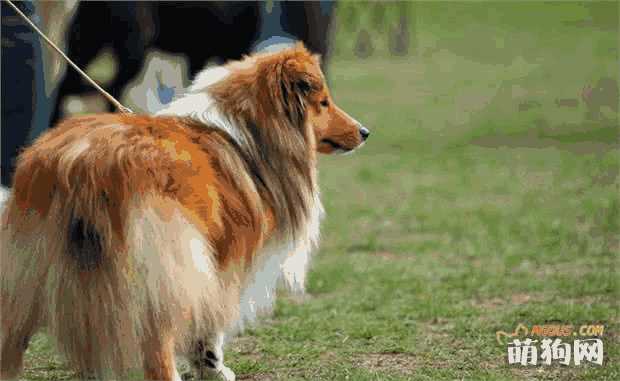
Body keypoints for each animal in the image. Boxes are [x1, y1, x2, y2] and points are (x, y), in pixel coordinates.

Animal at [0, 43, 368, 378]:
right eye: (324, 102)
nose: (365, 132)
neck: (245, 134)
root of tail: (78, 163)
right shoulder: (221, 261)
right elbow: (210, 327)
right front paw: (214, 370)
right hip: (159, 268)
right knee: (157, 348)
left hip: (28, 271)